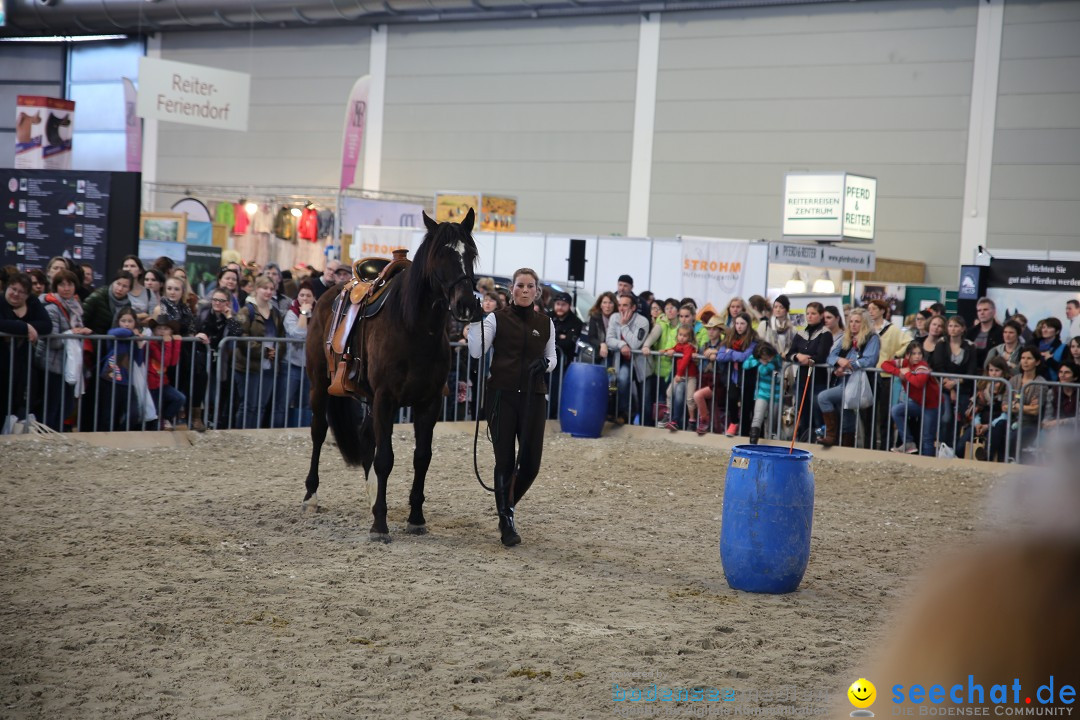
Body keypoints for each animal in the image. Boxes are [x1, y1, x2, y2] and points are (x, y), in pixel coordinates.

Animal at [300, 208, 477, 539]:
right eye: (440, 255)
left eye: (470, 253)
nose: (466, 304)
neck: (415, 328)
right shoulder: (386, 399)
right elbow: (385, 459)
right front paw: (380, 525)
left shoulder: (429, 403)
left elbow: (422, 458)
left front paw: (416, 518)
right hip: (318, 384)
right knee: (318, 432)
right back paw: (310, 496)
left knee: (365, 437)